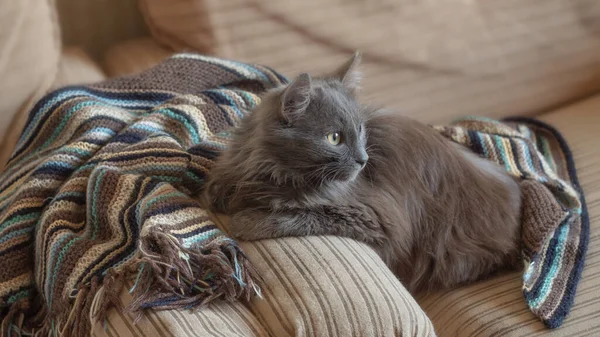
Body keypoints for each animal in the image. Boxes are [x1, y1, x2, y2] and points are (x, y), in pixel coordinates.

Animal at [203, 53, 520, 292]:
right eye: (334, 138)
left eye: (360, 130)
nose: (363, 160)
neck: (276, 172)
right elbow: (215, 189)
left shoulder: (375, 219)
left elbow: (304, 215)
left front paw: (247, 221)